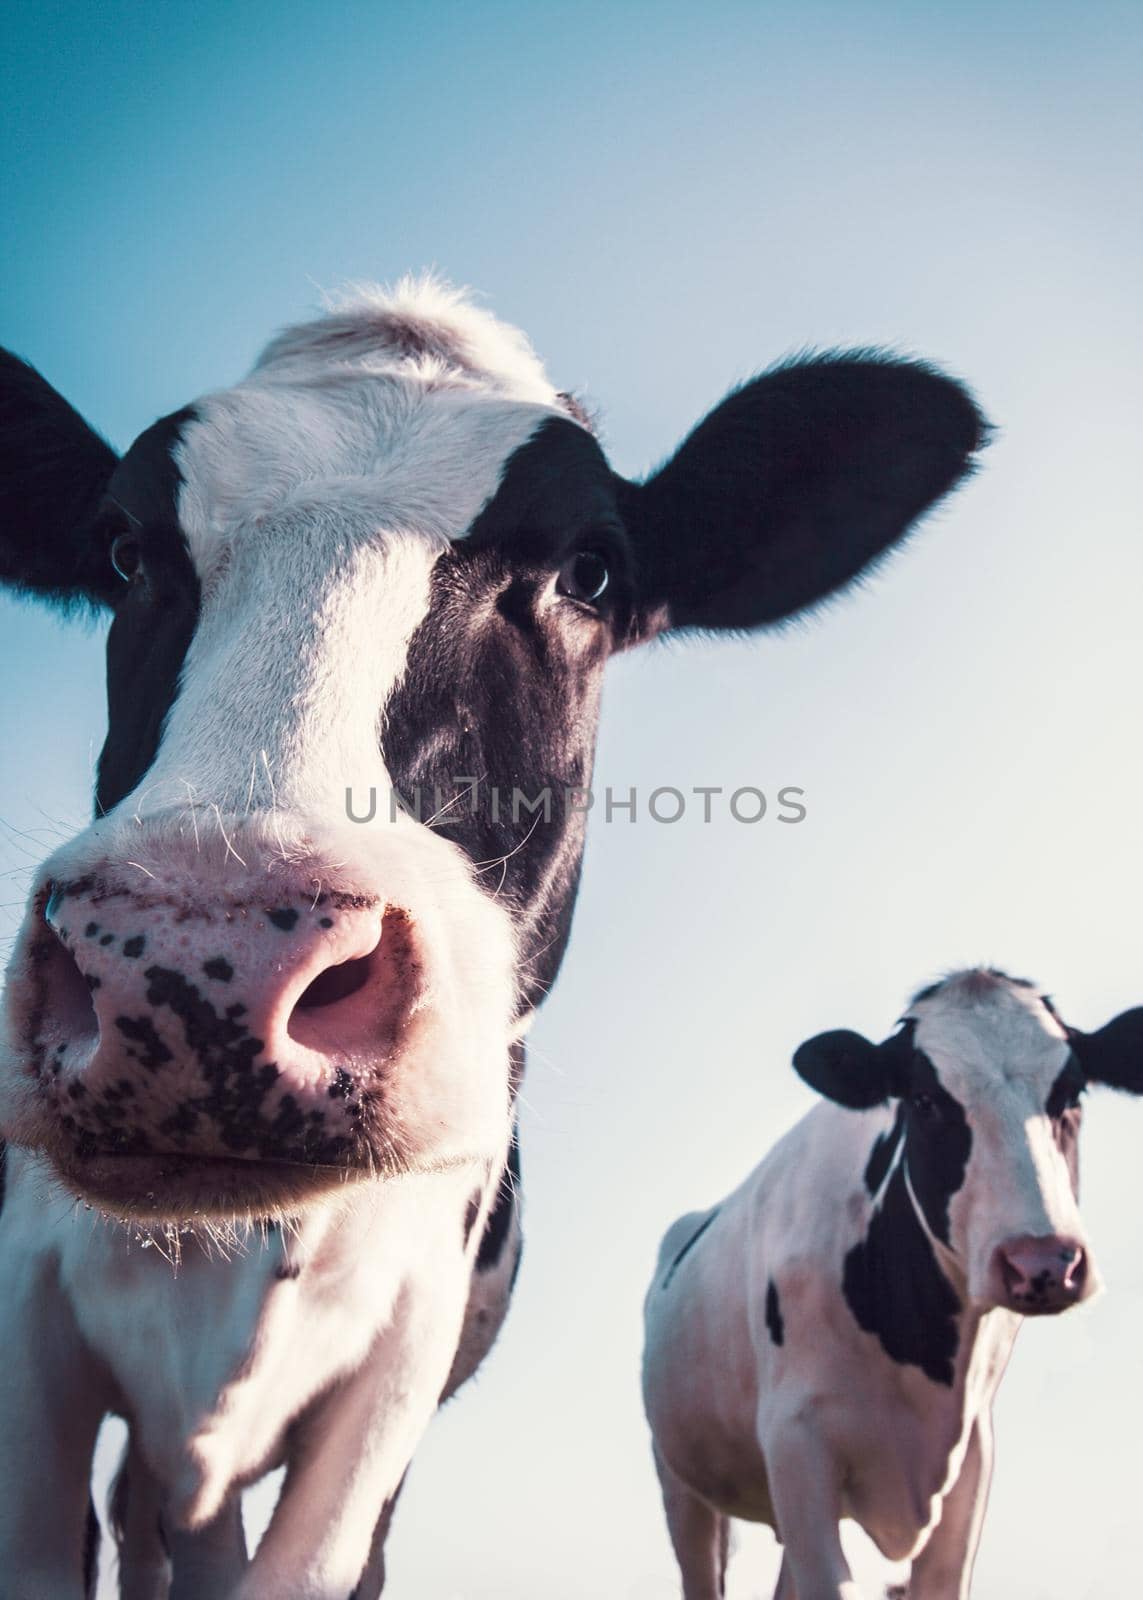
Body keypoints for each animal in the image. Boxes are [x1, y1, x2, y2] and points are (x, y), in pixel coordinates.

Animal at [640, 966, 1139, 1593]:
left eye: (1072, 1095)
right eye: (924, 1101)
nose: (1043, 1263)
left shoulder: (972, 1455)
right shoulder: (796, 1441)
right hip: (682, 1483)